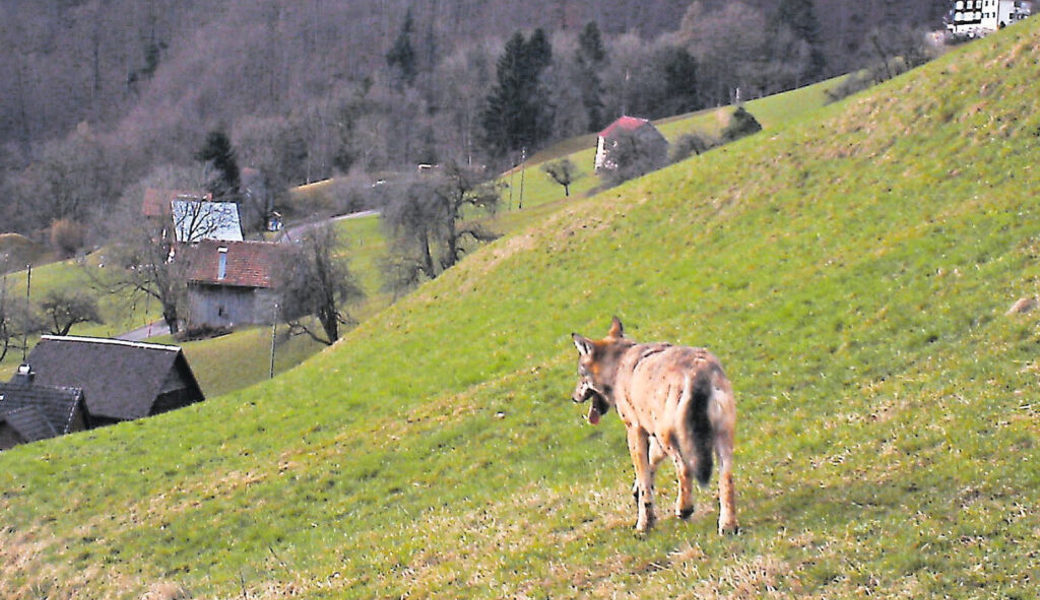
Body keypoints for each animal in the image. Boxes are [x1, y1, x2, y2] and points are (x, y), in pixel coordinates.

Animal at [569, 318, 740, 532]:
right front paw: (637, 491)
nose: (573, 397)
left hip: (671, 437)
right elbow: (650, 466)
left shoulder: (634, 431)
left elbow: (644, 480)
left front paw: (644, 523)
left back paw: (684, 509)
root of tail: (698, 371)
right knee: (726, 479)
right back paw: (727, 525)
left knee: (685, 469)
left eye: (580, 374)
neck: (619, 365)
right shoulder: (652, 436)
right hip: (720, 439)